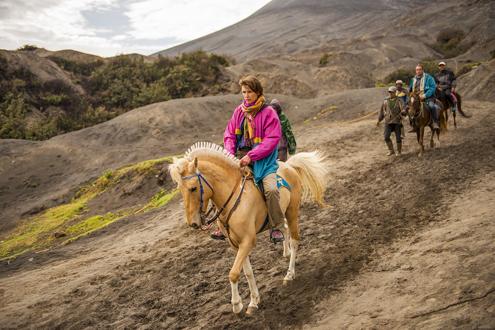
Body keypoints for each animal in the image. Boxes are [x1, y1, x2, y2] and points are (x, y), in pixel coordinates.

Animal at [169, 142, 328, 314]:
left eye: (193, 188)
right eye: (180, 189)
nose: (193, 223)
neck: (234, 197)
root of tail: (289, 166)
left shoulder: (247, 241)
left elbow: (233, 273)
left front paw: (237, 304)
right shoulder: (235, 244)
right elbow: (247, 272)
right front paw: (253, 301)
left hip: (292, 212)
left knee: (294, 240)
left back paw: (289, 273)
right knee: (284, 228)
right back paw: (284, 249)